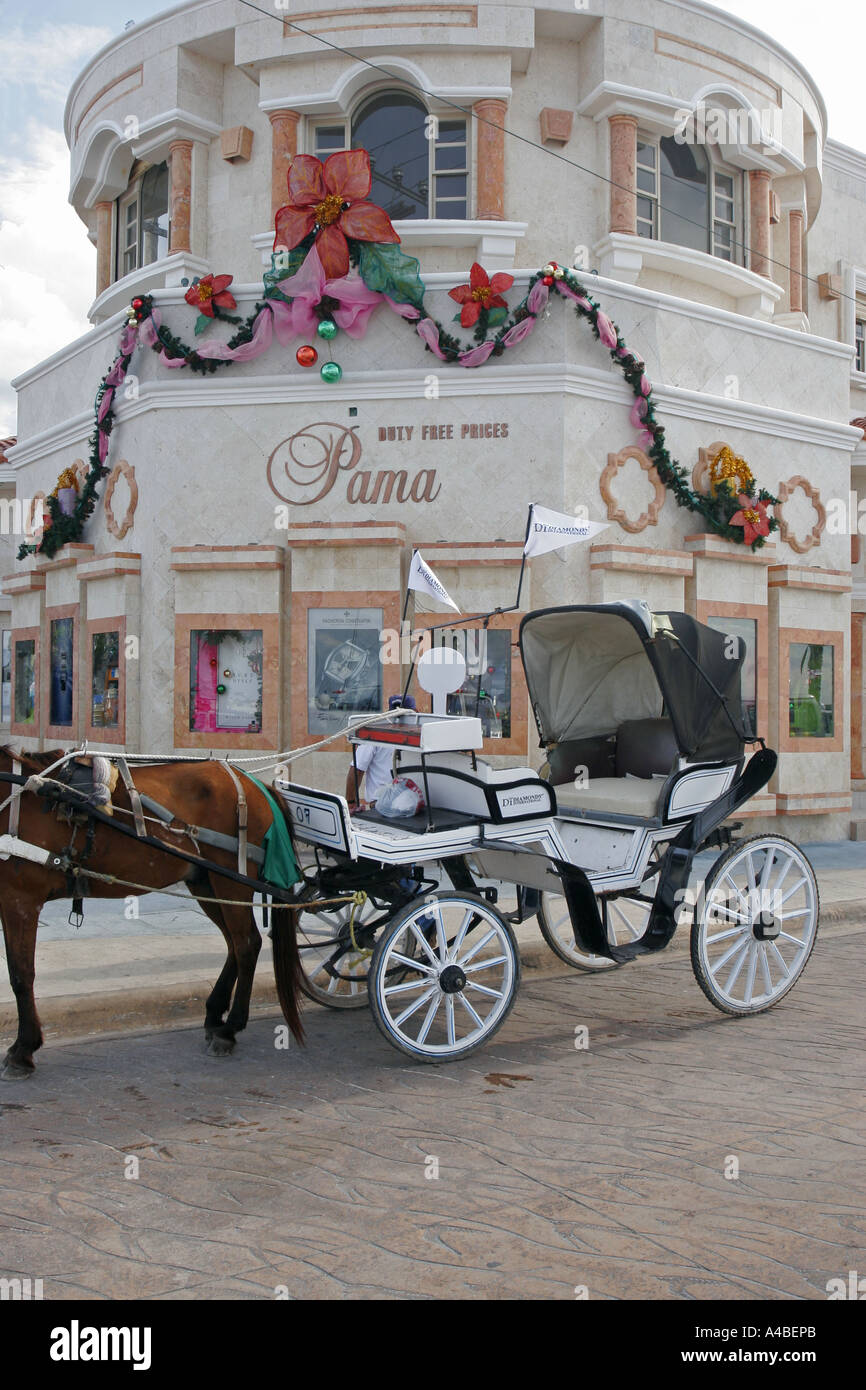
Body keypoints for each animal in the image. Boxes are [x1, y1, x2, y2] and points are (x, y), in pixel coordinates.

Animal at [0, 750, 304, 1084]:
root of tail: (258, 785)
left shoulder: (21, 899)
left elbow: (21, 974)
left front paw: (23, 1050)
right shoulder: (10, 900)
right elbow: (17, 971)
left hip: (232, 880)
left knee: (247, 944)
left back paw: (229, 1029)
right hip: (205, 881)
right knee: (235, 945)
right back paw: (214, 1015)